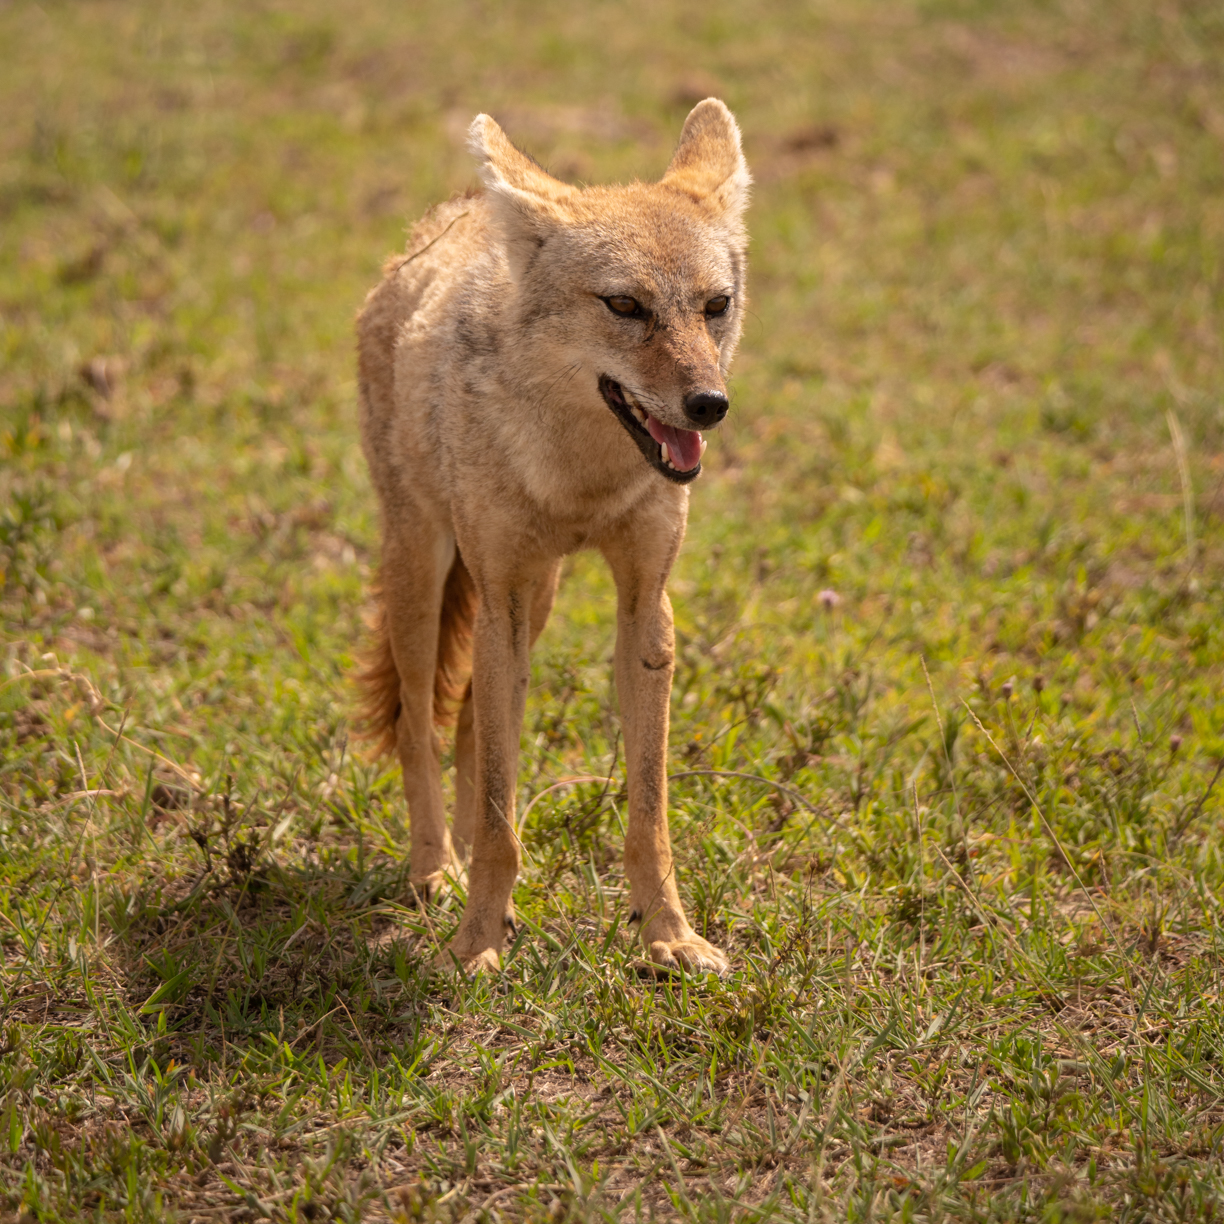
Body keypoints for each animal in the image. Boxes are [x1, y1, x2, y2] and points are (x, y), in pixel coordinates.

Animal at [355, 99, 750, 974]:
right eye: (626, 307)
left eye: (714, 306)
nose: (709, 405)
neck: (581, 473)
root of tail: (458, 211)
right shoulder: (497, 596)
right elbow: (491, 800)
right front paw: (474, 944)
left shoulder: (645, 610)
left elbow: (647, 813)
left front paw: (669, 937)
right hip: (425, 573)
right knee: (420, 725)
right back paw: (435, 871)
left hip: (533, 603)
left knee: (472, 723)